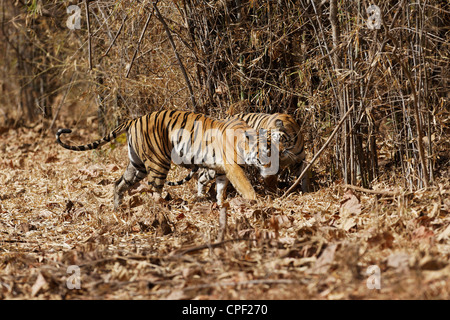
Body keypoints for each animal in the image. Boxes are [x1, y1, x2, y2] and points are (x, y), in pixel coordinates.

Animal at [56, 110, 274, 210]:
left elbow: (221, 188)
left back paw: (117, 207)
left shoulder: (221, 170)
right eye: (264, 152)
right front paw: (255, 201)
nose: (271, 169)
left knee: (119, 183)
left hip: (136, 165)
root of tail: (133, 120)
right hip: (158, 161)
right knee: (154, 189)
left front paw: (221, 204)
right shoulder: (233, 167)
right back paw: (163, 207)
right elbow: (245, 185)